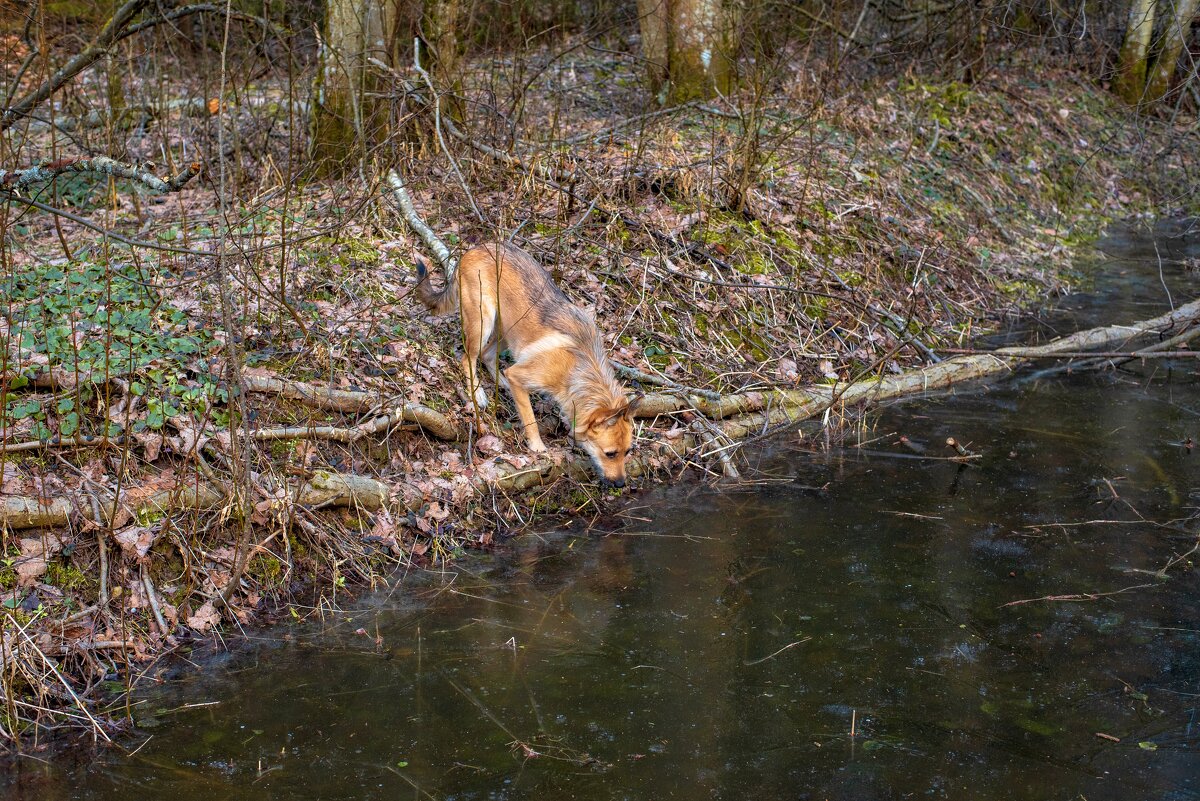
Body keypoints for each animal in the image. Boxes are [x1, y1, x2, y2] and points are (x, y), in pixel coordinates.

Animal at [415, 241, 638, 484]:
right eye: (610, 454)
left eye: (627, 452)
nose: (621, 485)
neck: (579, 368)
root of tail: (475, 249)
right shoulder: (520, 377)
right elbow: (530, 419)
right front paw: (537, 447)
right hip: (483, 323)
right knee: (468, 358)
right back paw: (478, 394)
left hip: (507, 330)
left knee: (487, 355)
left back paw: (500, 383)